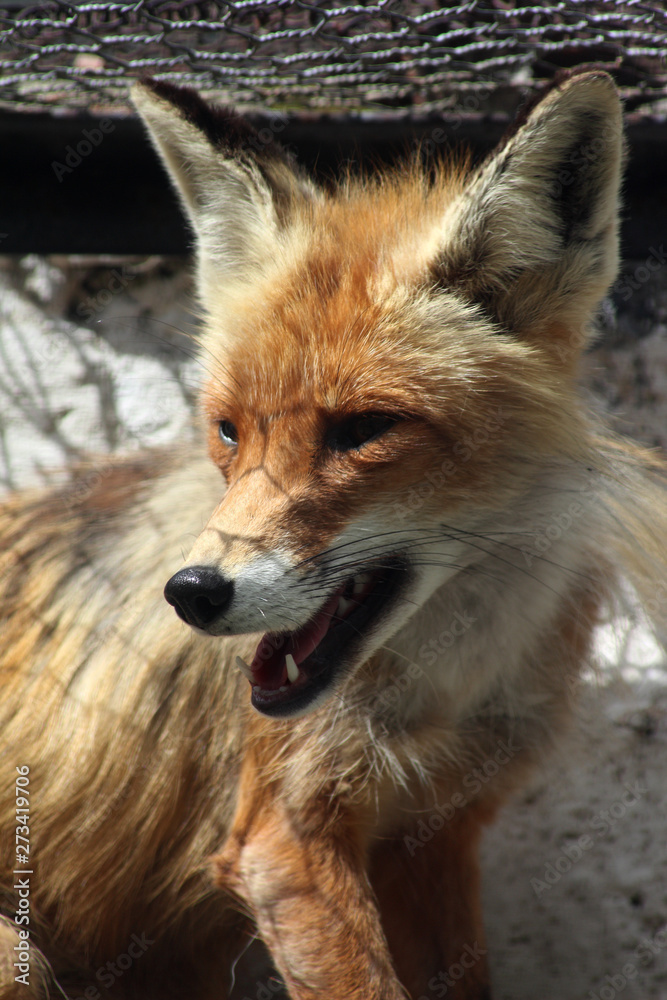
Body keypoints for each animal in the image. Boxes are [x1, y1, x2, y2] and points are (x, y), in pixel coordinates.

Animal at [1, 68, 666, 1000]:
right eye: (229, 431)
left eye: (362, 430)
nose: (192, 593)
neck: (445, 686)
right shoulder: (281, 834)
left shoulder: (433, 836)